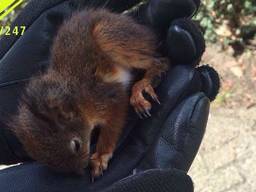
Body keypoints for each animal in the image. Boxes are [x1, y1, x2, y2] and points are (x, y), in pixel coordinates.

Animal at [11, 8, 169, 178]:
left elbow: (112, 126)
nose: (80, 171)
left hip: (110, 37)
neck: (77, 101)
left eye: (76, 145)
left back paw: (140, 89)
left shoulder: (107, 97)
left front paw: (100, 156)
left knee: (160, 62)